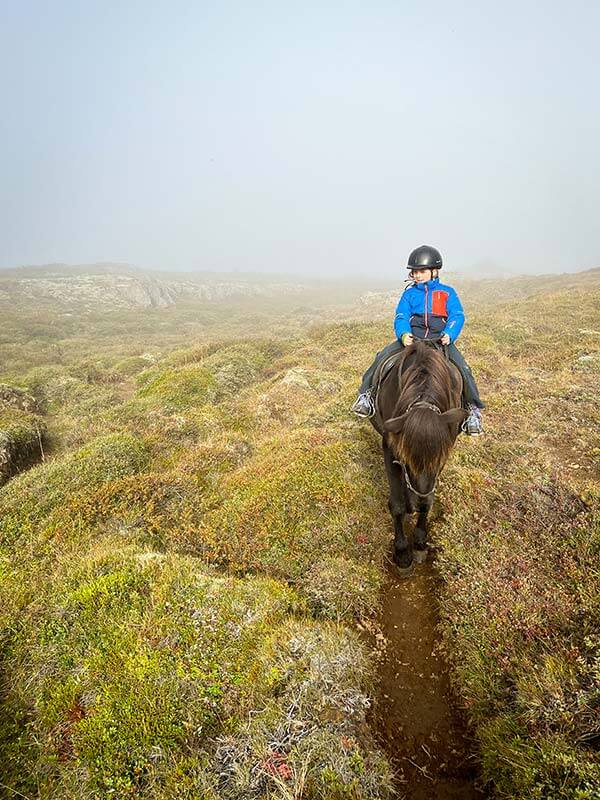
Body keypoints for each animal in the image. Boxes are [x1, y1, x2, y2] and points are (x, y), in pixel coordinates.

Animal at [372, 340, 466, 572]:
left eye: (440, 459)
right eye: (406, 460)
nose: (419, 503)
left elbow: (428, 499)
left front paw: (420, 543)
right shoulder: (390, 448)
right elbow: (396, 505)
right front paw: (402, 554)